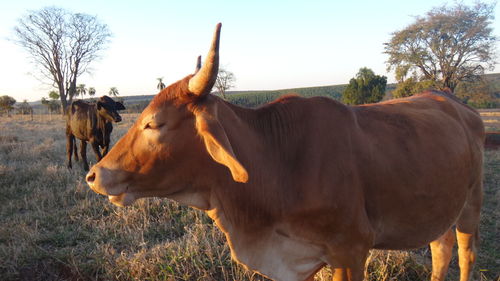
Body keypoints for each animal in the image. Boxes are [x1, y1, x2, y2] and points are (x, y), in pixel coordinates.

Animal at [84, 24, 482, 280]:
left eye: (154, 123)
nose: (94, 175)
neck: (278, 161)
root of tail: (452, 100)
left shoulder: (351, 251)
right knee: (440, 251)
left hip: (470, 207)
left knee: (464, 255)